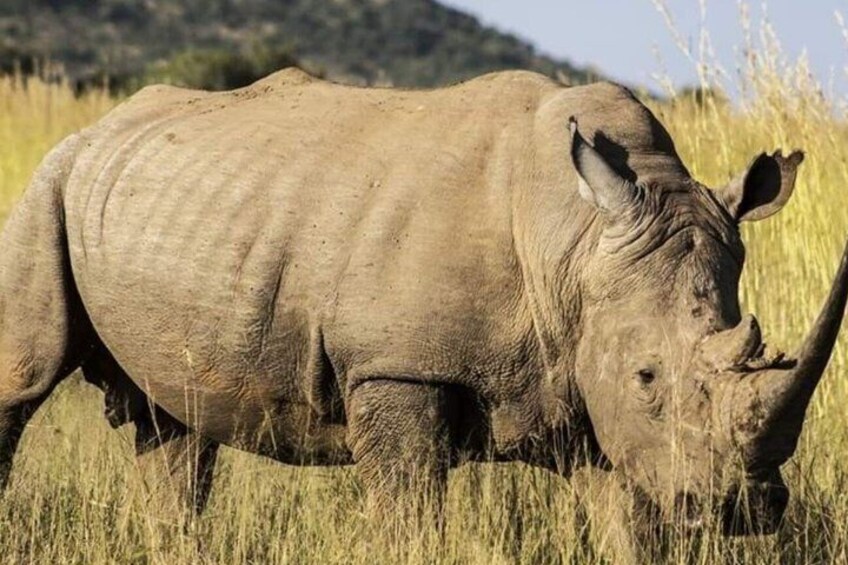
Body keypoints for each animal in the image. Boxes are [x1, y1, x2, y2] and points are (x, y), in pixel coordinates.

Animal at [0, 68, 845, 552]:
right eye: (647, 376)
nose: (742, 509)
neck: (574, 241)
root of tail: (101, 126)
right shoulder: (397, 365)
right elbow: (411, 512)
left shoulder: (589, 381)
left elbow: (628, 525)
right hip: (52, 179)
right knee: (25, 377)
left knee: (174, 427)